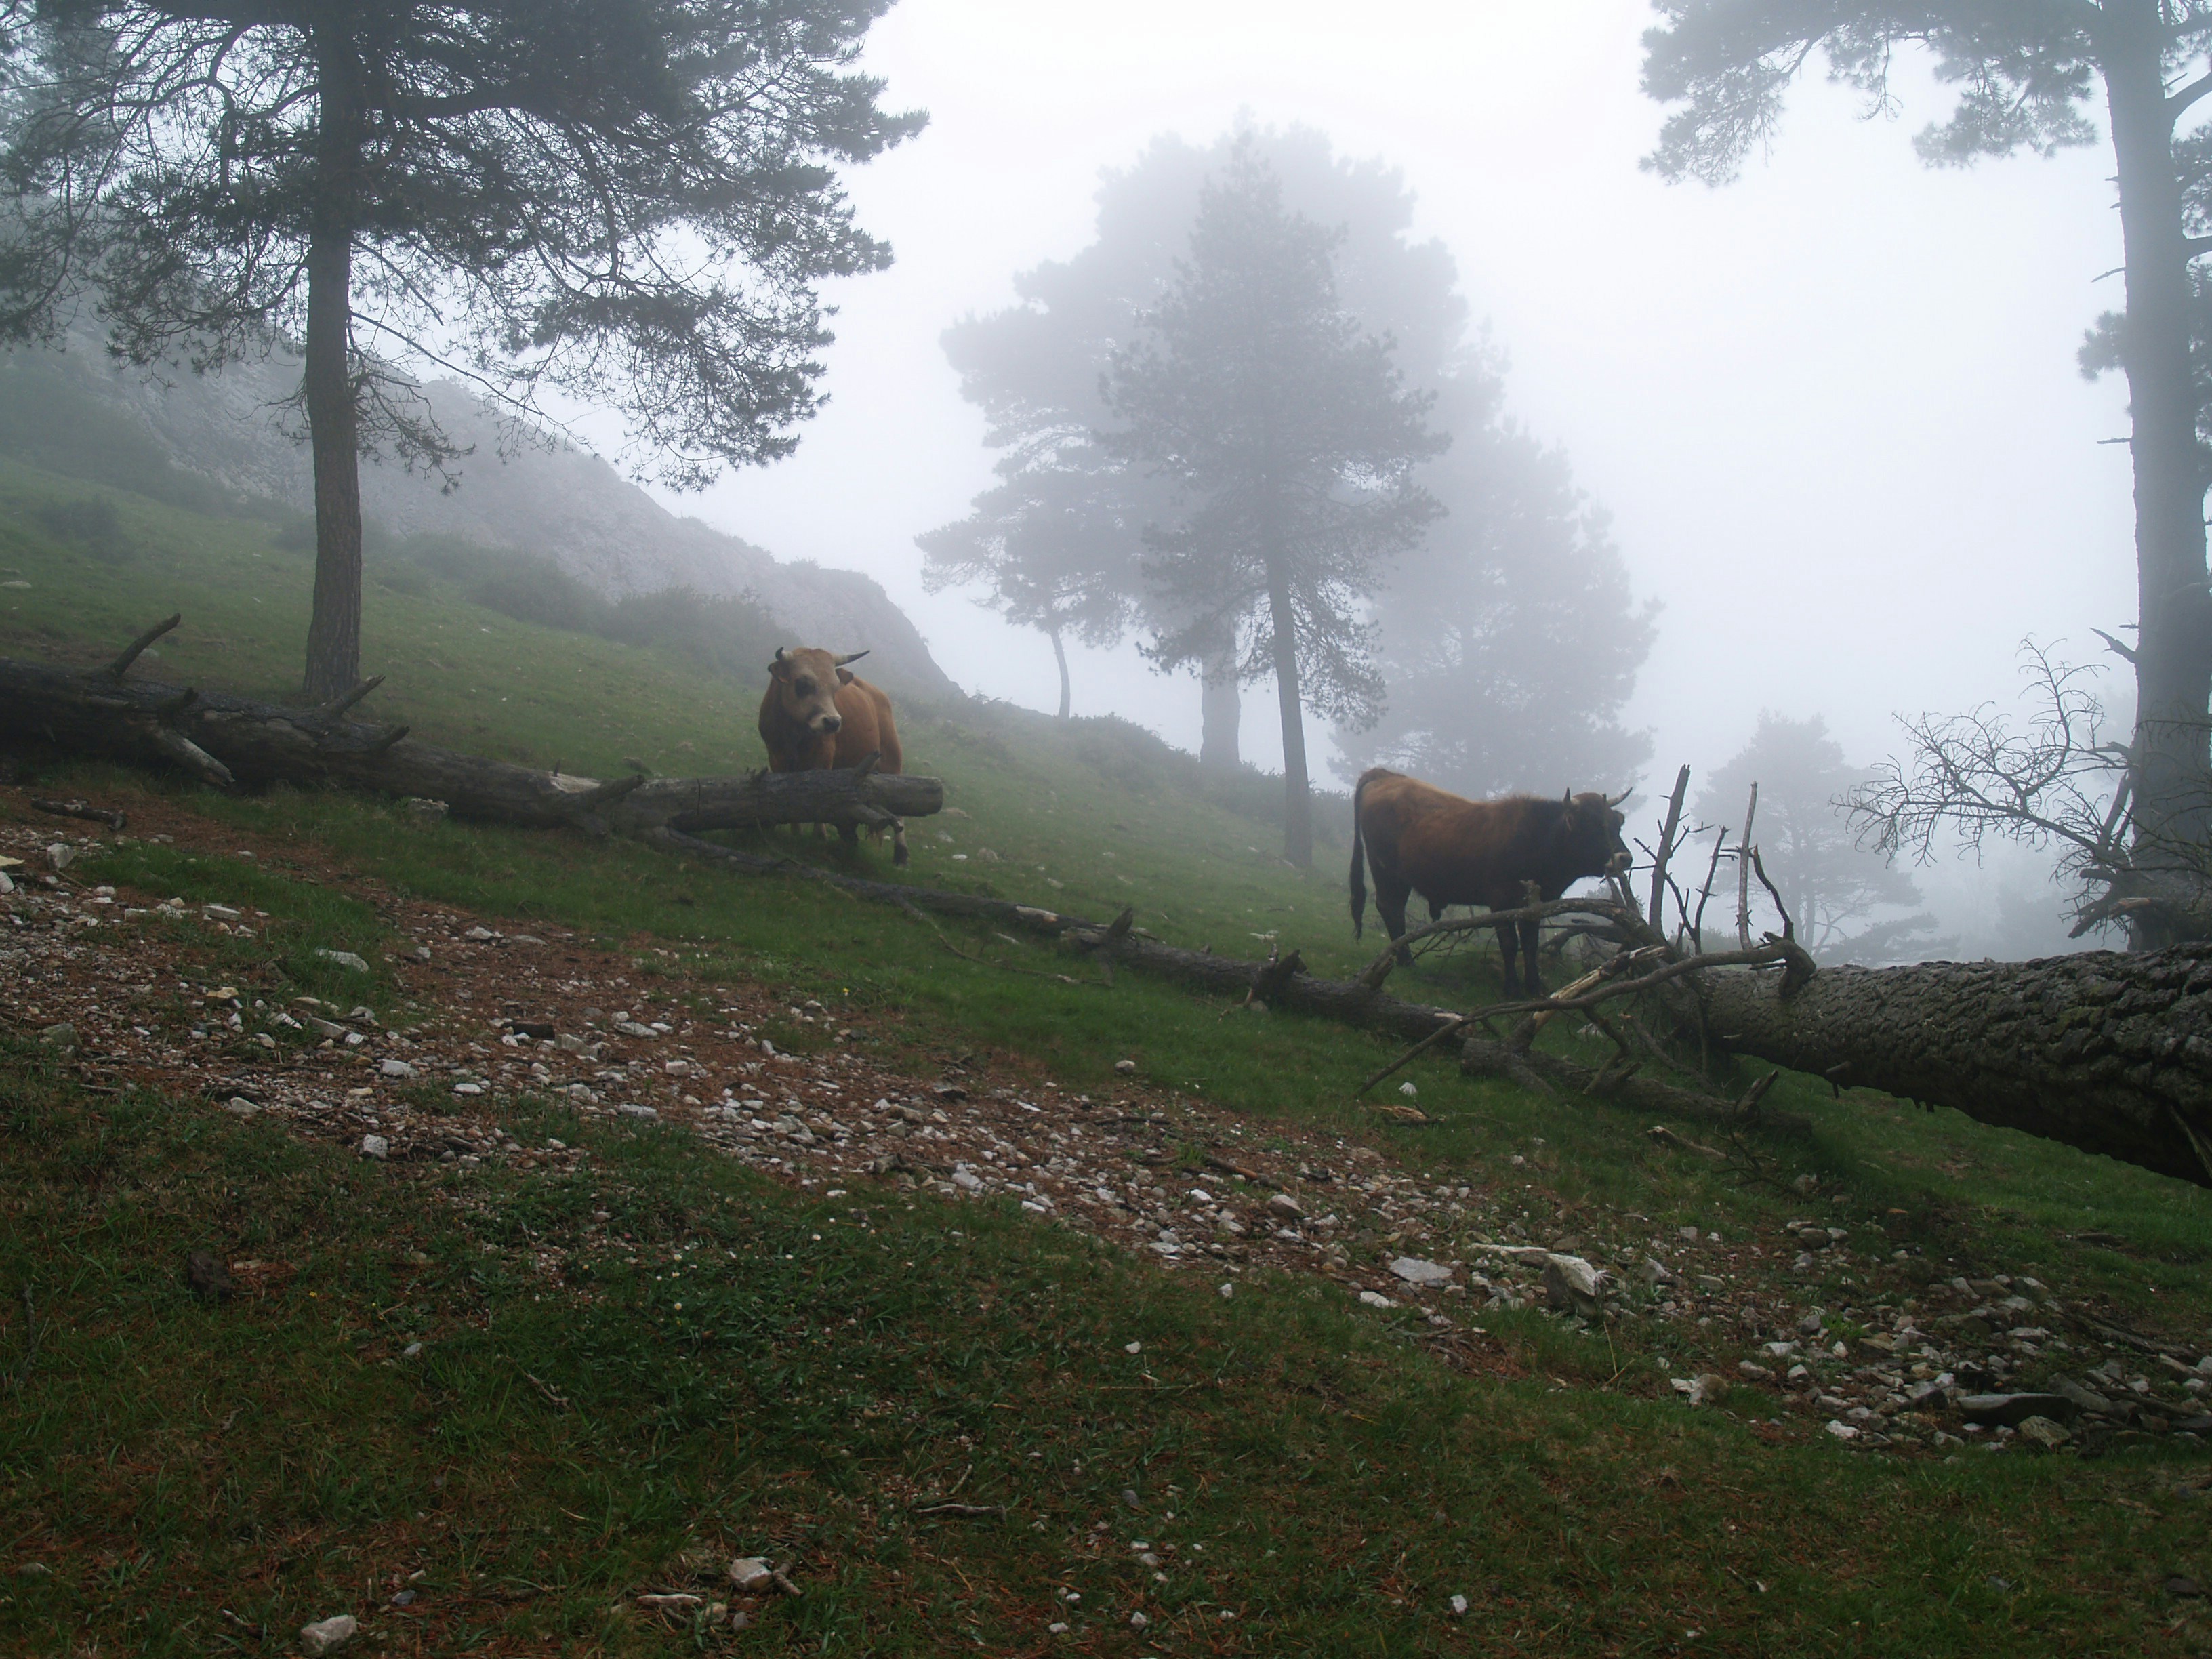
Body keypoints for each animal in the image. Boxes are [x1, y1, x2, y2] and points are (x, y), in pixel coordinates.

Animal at [758, 645, 908, 865]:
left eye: (836, 688)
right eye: (803, 683)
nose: (833, 722)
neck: (794, 733)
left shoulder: (823, 760)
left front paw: (819, 836)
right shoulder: (777, 758)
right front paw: (796, 832)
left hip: (892, 760)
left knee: (899, 811)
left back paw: (901, 854)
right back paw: (849, 840)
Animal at [1349, 767, 1630, 996]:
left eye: (1618, 824)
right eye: (1594, 826)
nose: (1625, 858)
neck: (1537, 838)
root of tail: (1385, 775)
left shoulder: (1533, 905)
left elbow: (1530, 944)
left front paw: (1534, 986)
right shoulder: (1501, 901)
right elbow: (1509, 944)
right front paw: (1512, 988)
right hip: (1386, 871)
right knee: (1390, 909)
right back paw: (1406, 960)